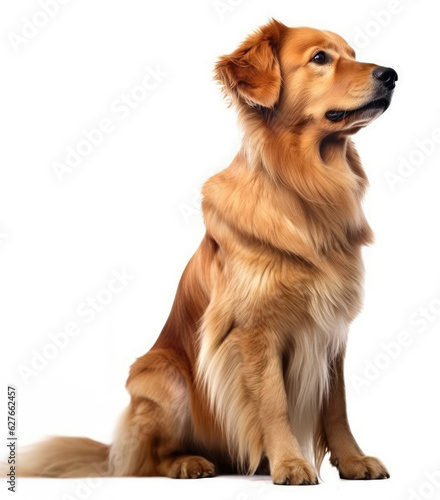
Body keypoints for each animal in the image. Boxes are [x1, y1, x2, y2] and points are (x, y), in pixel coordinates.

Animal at [14, 19, 398, 484]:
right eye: (320, 58)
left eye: (354, 53)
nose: (391, 75)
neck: (307, 188)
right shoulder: (253, 329)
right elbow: (274, 402)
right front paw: (289, 463)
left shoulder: (332, 326)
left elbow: (337, 405)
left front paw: (353, 460)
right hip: (162, 377)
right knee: (149, 459)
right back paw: (189, 463)